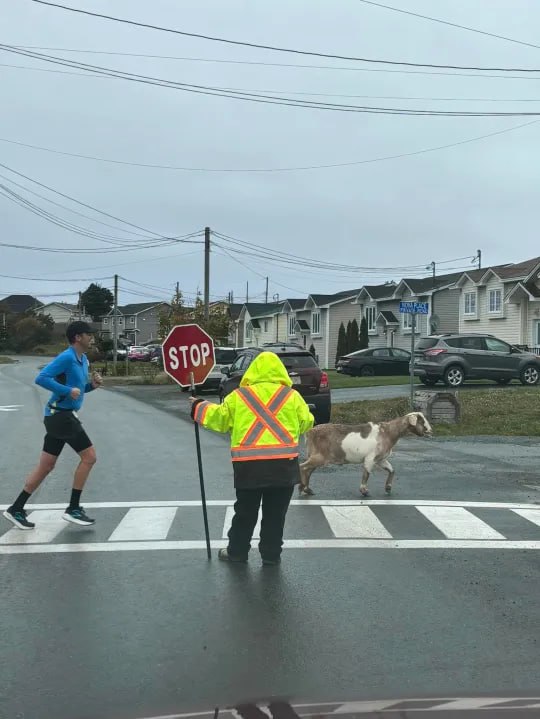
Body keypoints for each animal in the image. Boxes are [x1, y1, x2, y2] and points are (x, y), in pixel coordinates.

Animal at [298, 414, 432, 498]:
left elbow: (391, 470)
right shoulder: (370, 457)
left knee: (308, 470)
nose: (430, 430)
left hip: (315, 455)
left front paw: (388, 488)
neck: (388, 433)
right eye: (421, 421)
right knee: (302, 467)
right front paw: (364, 491)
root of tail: (309, 432)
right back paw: (302, 487)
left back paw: (307, 489)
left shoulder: (380, 459)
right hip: (319, 456)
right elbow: (367, 473)